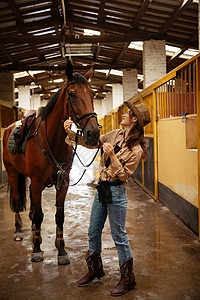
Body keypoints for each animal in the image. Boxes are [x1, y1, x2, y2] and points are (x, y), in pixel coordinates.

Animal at [3, 59, 100, 264]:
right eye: (72, 94)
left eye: (92, 94)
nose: (93, 133)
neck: (52, 141)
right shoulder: (37, 182)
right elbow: (40, 215)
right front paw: (37, 250)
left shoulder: (62, 183)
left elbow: (59, 215)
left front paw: (61, 250)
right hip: (13, 173)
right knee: (17, 200)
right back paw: (19, 231)